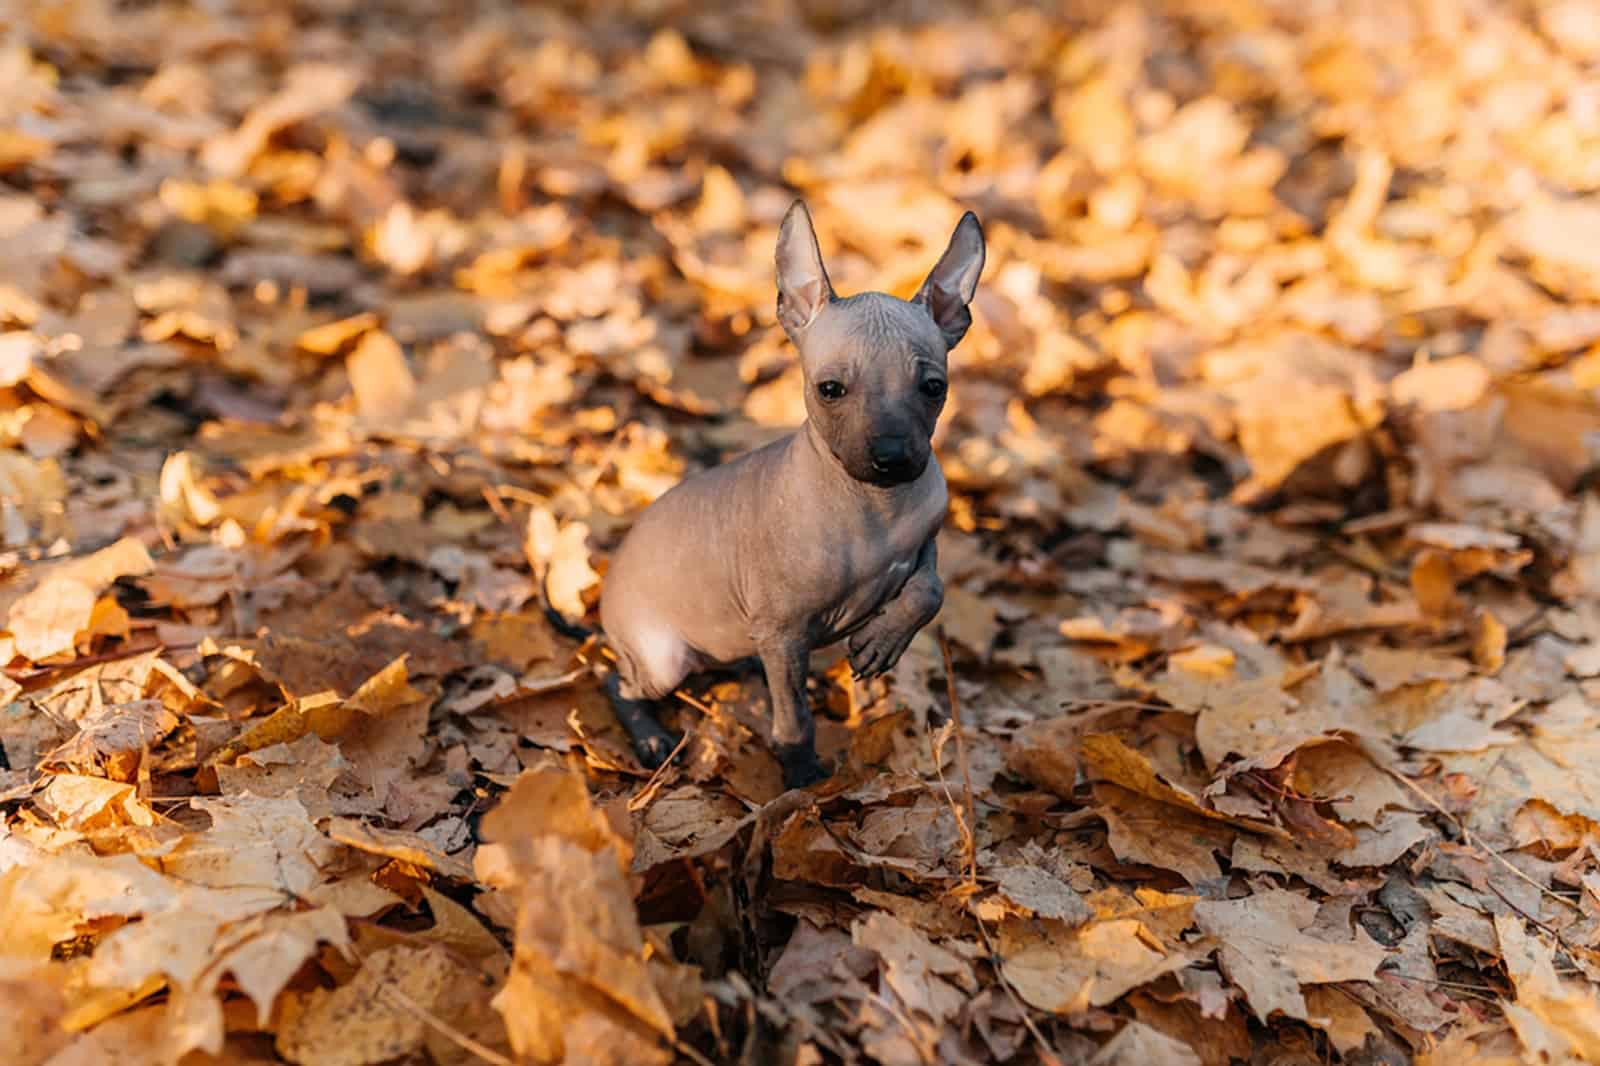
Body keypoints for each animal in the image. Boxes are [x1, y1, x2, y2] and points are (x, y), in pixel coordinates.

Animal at [569, 199, 979, 784]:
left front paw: (883, 639)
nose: (893, 456)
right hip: (662, 660)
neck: (874, 508)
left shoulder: (924, 542)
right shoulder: (783, 633)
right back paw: (650, 739)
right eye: (830, 389)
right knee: (616, 680)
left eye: (933, 388)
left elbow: (930, 589)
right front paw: (803, 781)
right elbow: (794, 722)